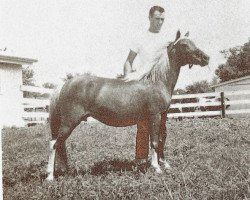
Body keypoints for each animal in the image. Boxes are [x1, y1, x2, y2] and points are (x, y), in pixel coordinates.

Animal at [46, 30, 209, 180]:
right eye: (184, 45)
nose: (206, 58)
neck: (156, 81)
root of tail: (65, 84)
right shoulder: (155, 116)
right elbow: (154, 142)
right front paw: (156, 168)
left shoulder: (163, 116)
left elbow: (162, 139)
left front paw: (165, 165)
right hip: (69, 122)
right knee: (54, 144)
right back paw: (50, 176)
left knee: (60, 145)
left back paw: (65, 171)